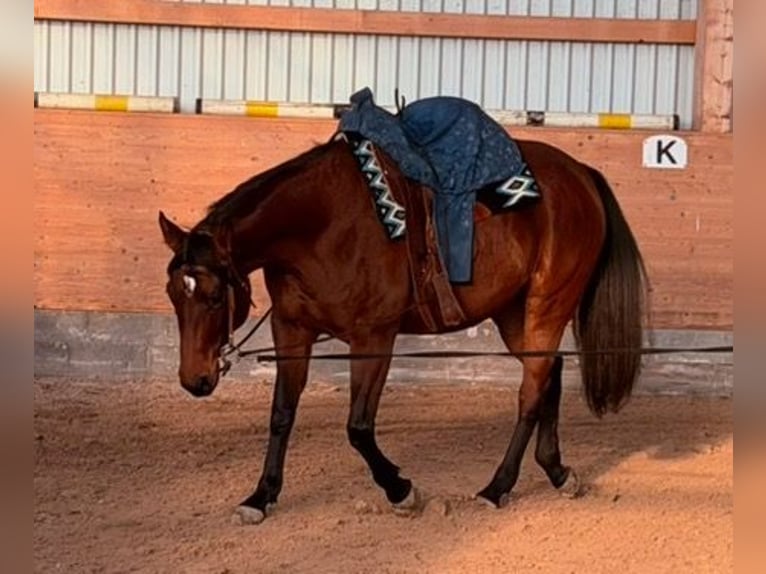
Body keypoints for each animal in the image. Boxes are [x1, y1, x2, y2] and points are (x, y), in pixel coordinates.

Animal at [159, 133, 648, 525]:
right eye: (173, 294)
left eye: (215, 297)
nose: (194, 380)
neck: (320, 225)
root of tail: (580, 173)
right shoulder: (291, 328)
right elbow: (281, 415)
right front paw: (260, 497)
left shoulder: (373, 338)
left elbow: (358, 427)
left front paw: (401, 490)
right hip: (512, 311)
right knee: (550, 373)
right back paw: (557, 471)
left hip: (548, 304)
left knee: (530, 392)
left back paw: (498, 487)